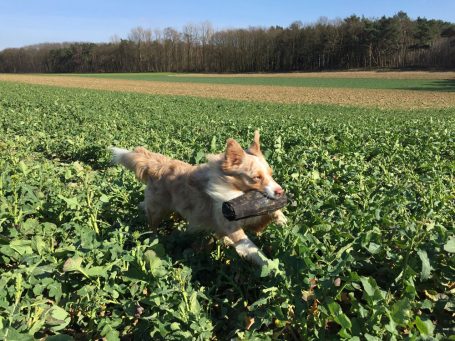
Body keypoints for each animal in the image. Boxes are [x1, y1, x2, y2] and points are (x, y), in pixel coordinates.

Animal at [112, 130, 286, 266]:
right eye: (256, 177)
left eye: (271, 174)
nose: (281, 191)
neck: (234, 191)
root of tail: (156, 164)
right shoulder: (232, 227)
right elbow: (255, 251)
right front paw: (272, 268)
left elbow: (268, 214)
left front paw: (282, 220)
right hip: (156, 212)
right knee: (152, 227)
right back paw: (154, 240)